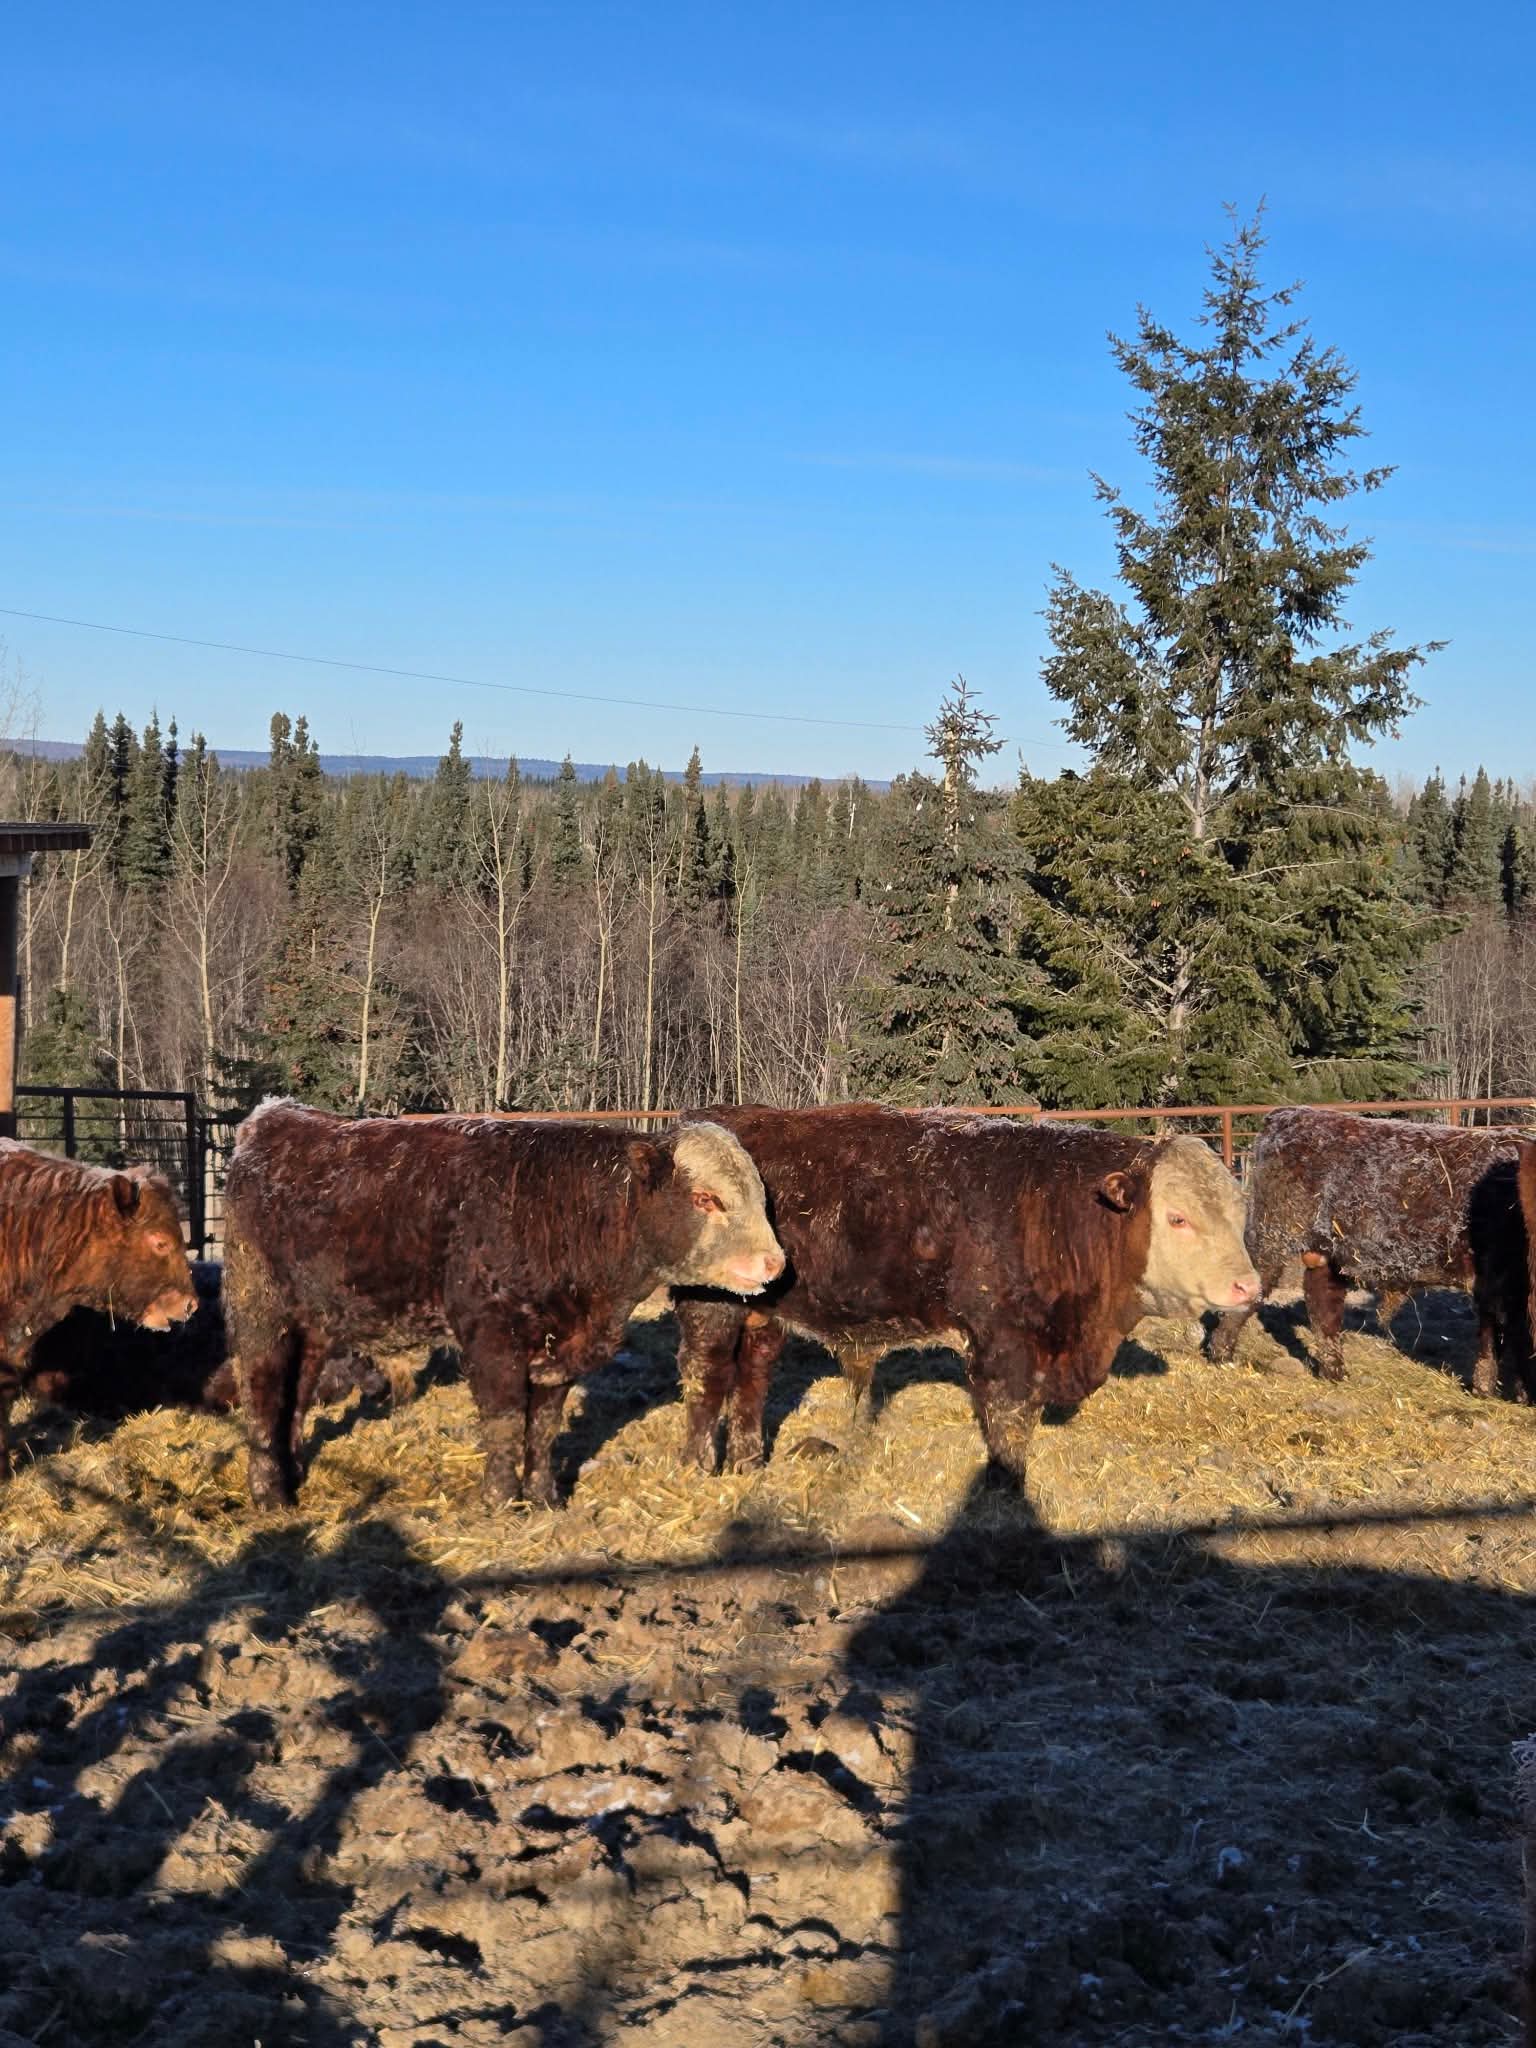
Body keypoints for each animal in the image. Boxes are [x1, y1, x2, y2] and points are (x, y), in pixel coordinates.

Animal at [221, 1099, 784, 1509]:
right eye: (706, 1199)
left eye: (762, 1197)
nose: (775, 1262)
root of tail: (277, 1117)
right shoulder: (490, 1339)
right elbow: (507, 1422)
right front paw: (498, 1499)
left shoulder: (559, 1350)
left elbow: (544, 1427)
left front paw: (543, 1498)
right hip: (259, 1308)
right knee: (261, 1391)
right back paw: (269, 1494)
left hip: (314, 1323)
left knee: (295, 1396)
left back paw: (294, 1475)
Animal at [667, 1105, 1260, 1481]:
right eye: (1178, 1218)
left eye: (1237, 1210)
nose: (1248, 1285)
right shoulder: (1002, 1343)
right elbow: (1009, 1422)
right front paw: (1007, 1483)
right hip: (711, 1306)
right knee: (707, 1375)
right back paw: (696, 1469)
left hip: (761, 1311)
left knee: (752, 1376)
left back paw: (747, 1464)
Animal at [1207, 1106, 1535, 1391]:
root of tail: (1287, 1114)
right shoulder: (1500, 1282)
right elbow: (1504, 1337)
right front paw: (1508, 1391)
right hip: (1272, 1236)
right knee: (1256, 1285)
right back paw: (1221, 1354)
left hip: (1326, 1254)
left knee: (1322, 1305)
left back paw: (1334, 1372)